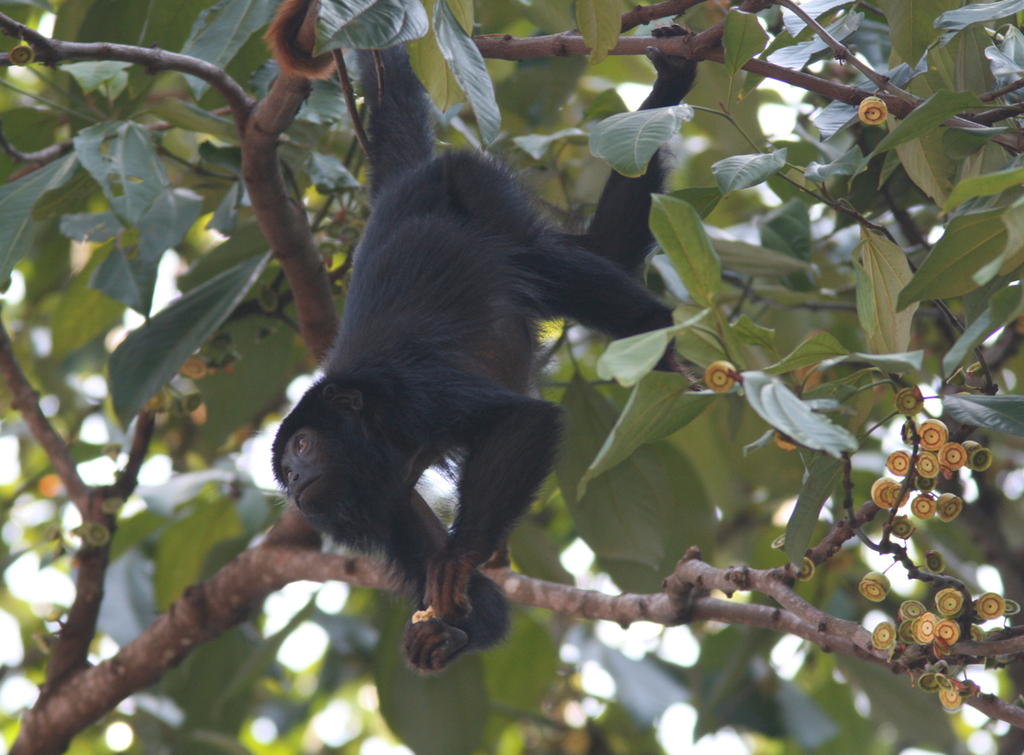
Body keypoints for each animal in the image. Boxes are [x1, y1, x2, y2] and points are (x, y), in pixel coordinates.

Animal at [264, 0, 700, 672]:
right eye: (286, 470)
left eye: (303, 446)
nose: (292, 478)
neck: (376, 433)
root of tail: (404, 184)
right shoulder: (382, 496)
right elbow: (450, 586)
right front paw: (445, 633)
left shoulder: (412, 393)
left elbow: (524, 423)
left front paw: (460, 553)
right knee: (597, 252)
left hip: (472, 183)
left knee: (549, 261)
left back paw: (654, 332)